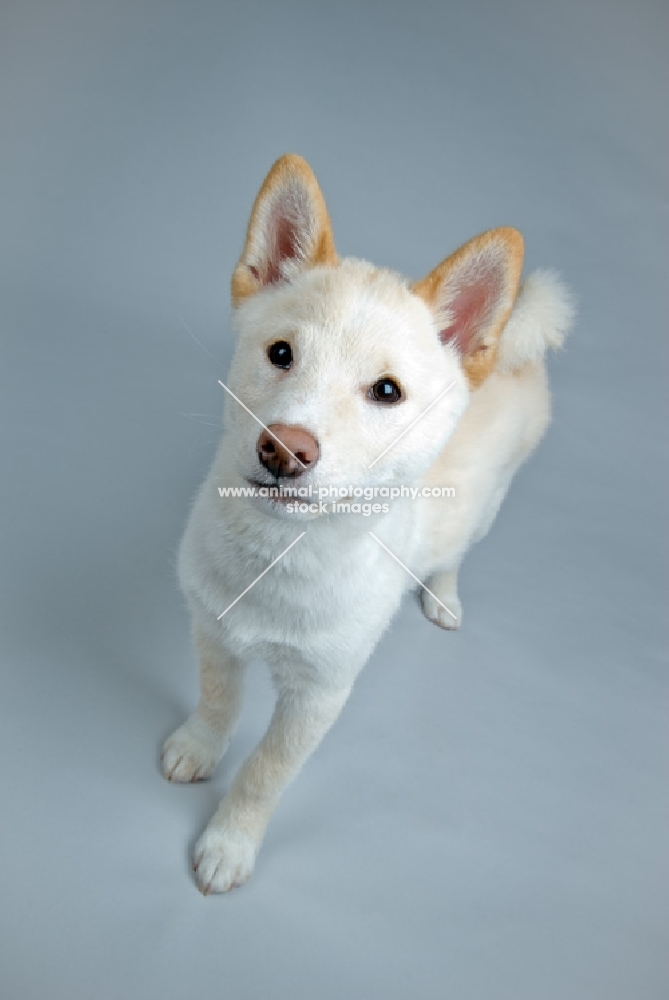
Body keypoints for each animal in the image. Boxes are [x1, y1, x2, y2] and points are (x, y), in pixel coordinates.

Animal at [163, 154, 576, 892]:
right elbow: (216, 702)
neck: (279, 556)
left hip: (484, 508)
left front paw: (230, 842)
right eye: (279, 353)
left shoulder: (318, 696)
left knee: (453, 554)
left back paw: (443, 596)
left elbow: (265, 774)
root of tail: (510, 346)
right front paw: (199, 746)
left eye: (386, 391)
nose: (284, 448)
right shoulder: (212, 630)